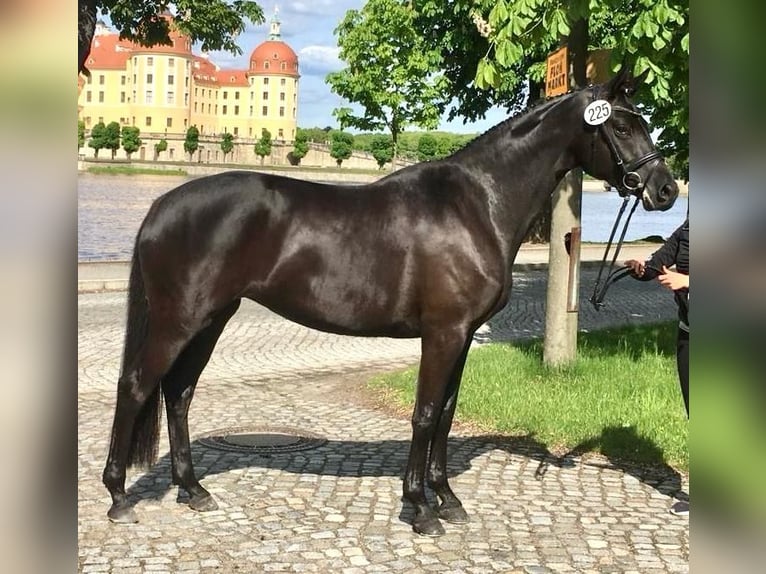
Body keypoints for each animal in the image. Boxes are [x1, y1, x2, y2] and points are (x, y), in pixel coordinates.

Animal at [102, 70, 680, 536]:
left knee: (178, 393)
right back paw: (118, 496)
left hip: (211, 320)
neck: (476, 205)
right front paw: (420, 508)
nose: (666, 190)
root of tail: (162, 204)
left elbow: (446, 413)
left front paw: (447, 499)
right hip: (180, 321)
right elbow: (424, 414)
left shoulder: (463, 336)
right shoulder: (443, 332)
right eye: (622, 126)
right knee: (137, 386)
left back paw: (192, 489)